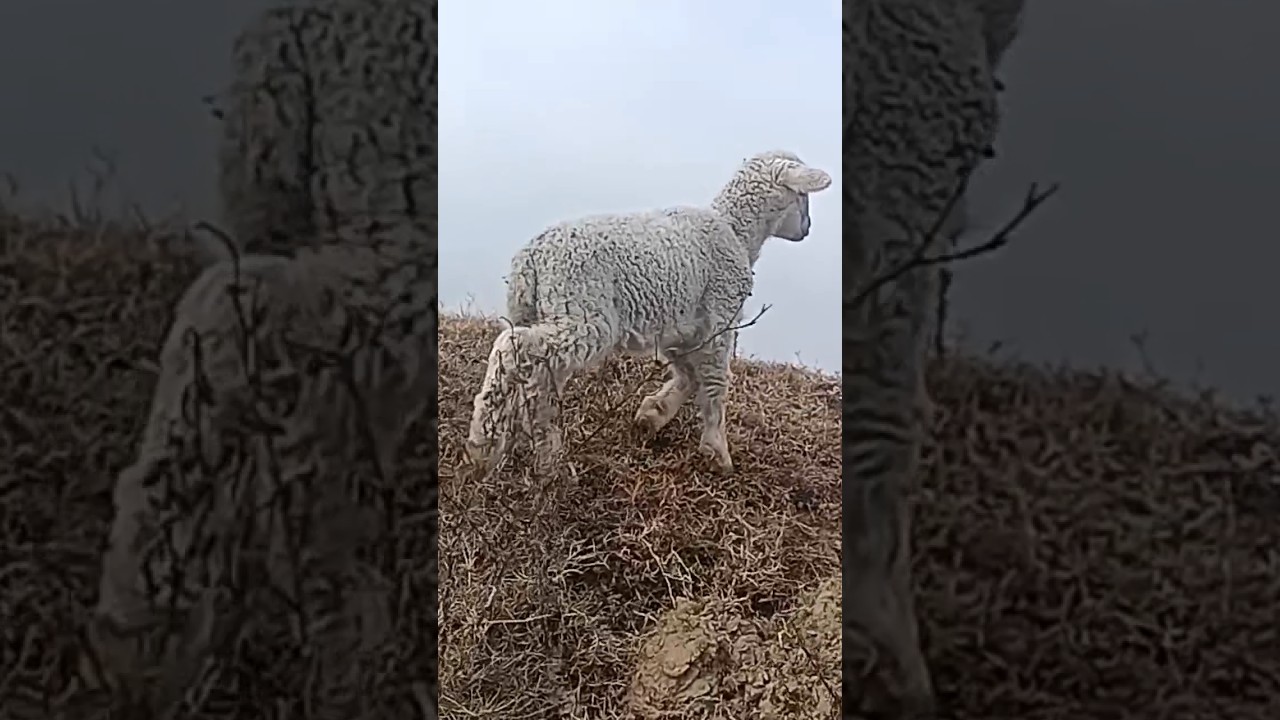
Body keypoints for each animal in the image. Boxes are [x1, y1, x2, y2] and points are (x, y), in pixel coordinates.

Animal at [465, 150, 833, 477]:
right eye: (802, 196)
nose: (807, 228)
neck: (735, 231)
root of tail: (531, 257)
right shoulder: (720, 315)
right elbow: (715, 381)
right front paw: (717, 450)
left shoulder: (682, 327)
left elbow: (688, 375)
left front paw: (653, 414)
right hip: (584, 312)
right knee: (512, 346)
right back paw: (484, 444)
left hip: (543, 311)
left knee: (537, 377)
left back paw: (545, 459)